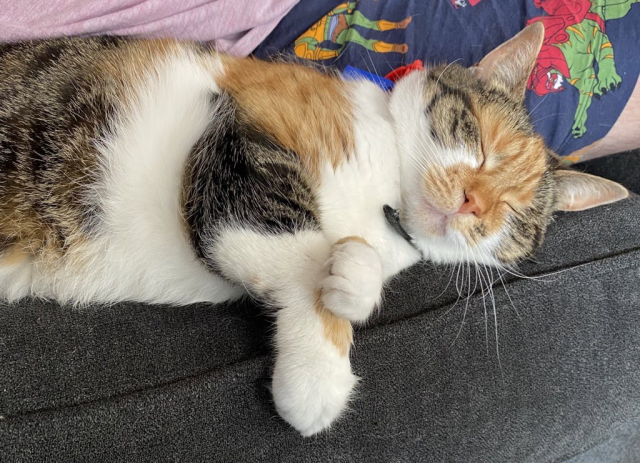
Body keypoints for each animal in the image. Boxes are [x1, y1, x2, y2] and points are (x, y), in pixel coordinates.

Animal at [0, 23, 632, 436]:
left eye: (519, 217)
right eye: (478, 138)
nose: (473, 204)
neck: (384, 196)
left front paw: (353, 287)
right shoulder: (244, 128)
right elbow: (289, 242)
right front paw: (320, 371)